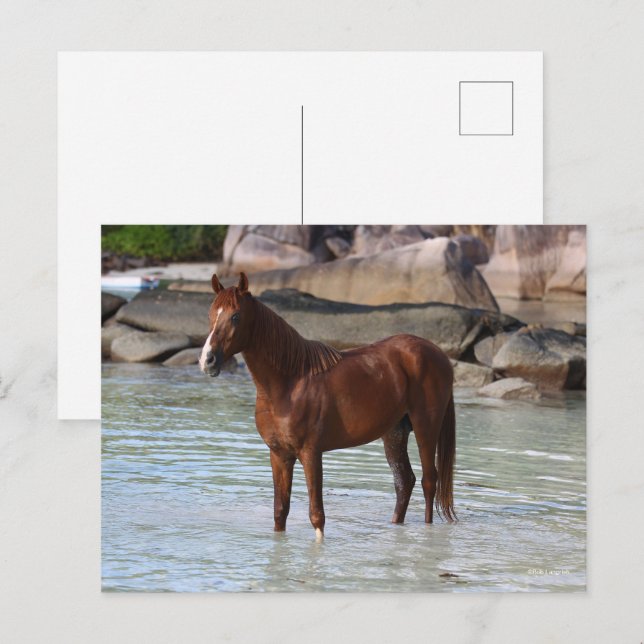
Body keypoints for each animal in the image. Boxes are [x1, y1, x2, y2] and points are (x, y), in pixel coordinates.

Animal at [199, 272, 456, 540]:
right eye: (211, 314)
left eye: (236, 316)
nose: (208, 360)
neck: (289, 384)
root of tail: (438, 353)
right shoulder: (279, 455)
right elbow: (280, 511)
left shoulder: (311, 454)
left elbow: (317, 516)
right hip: (395, 432)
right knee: (404, 481)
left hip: (426, 428)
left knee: (429, 481)